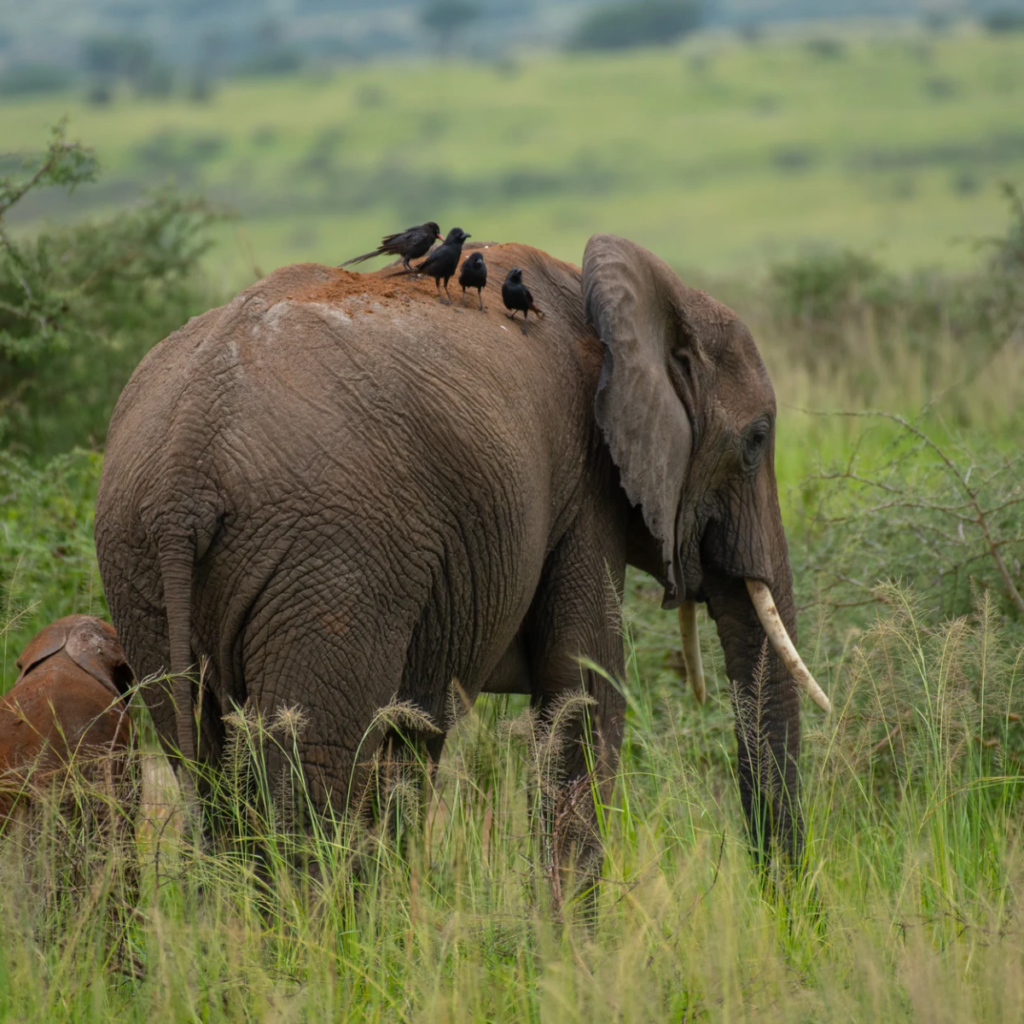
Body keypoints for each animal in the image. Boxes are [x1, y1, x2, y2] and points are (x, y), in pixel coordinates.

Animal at [94, 235, 829, 892]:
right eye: (756, 440)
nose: (785, 915)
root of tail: (188, 460)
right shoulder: (585, 488)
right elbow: (583, 691)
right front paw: (572, 950)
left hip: (140, 569)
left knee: (210, 767)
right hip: (333, 562)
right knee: (312, 775)